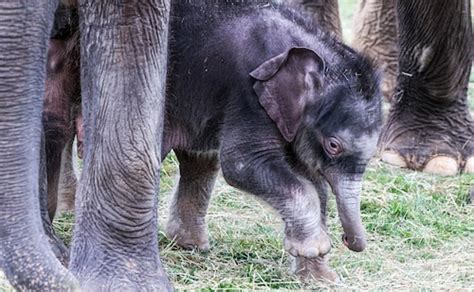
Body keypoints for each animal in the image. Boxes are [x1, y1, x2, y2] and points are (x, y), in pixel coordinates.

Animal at [163, 1, 382, 282]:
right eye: (333, 146)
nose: (346, 240)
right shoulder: (248, 96)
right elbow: (241, 165)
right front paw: (314, 247)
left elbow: (313, 182)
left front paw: (322, 279)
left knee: (200, 161)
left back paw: (189, 245)